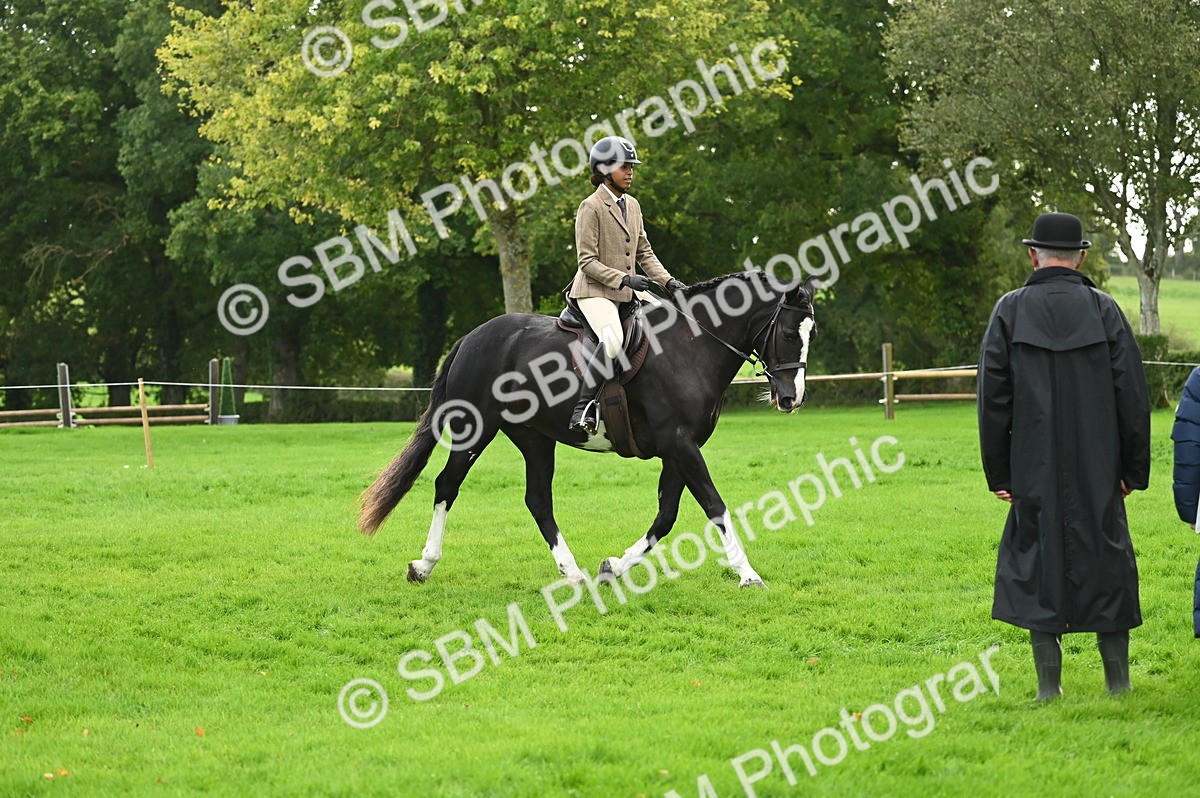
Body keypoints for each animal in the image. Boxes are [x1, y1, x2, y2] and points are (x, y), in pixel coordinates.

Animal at [359, 271, 818, 588]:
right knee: (446, 485)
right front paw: (747, 574)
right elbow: (715, 506)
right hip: (477, 429)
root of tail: (473, 337)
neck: (691, 348)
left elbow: (667, 515)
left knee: (537, 500)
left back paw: (573, 572)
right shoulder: (681, 446)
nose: (792, 398)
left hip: (536, 439)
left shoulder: (679, 449)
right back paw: (423, 565)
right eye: (788, 331)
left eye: (811, 331)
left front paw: (613, 566)